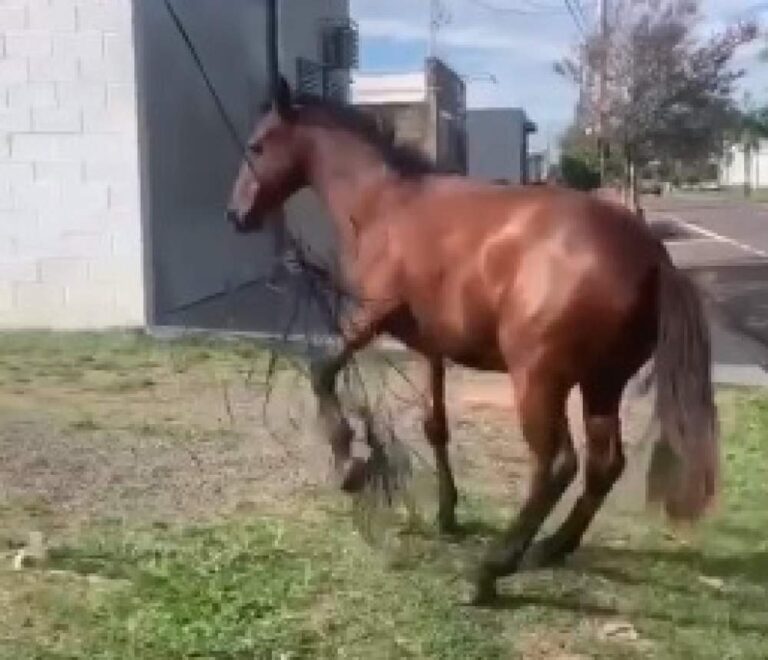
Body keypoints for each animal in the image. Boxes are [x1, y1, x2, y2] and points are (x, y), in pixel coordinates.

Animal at [227, 78, 717, 605]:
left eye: (256, 146)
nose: (235, 214)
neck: (385, 206)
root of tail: (653, 257)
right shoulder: (430, 348)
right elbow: (435, 426)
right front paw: (447, 514)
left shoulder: (369, 319)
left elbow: (322, 372)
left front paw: (348, 466)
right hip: (601, 384)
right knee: (604, 465)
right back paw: (550, 548)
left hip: (539, 381)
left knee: (557, 465)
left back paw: (491, 570)